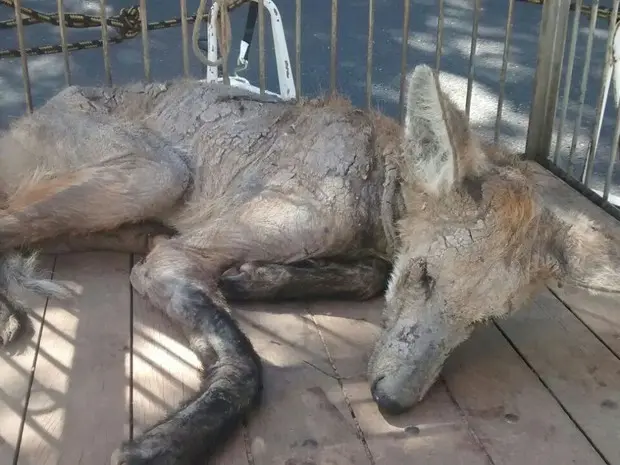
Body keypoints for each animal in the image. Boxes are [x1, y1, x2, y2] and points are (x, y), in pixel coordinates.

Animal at [0, 65, 616, 464]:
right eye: (425, 277)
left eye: (480, 321)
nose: (392, 403)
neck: (370, 185)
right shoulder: (175, 259)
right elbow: (245, 366)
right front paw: (168, 444)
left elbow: (369, 275)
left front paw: (253, 280)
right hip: (157, 174)